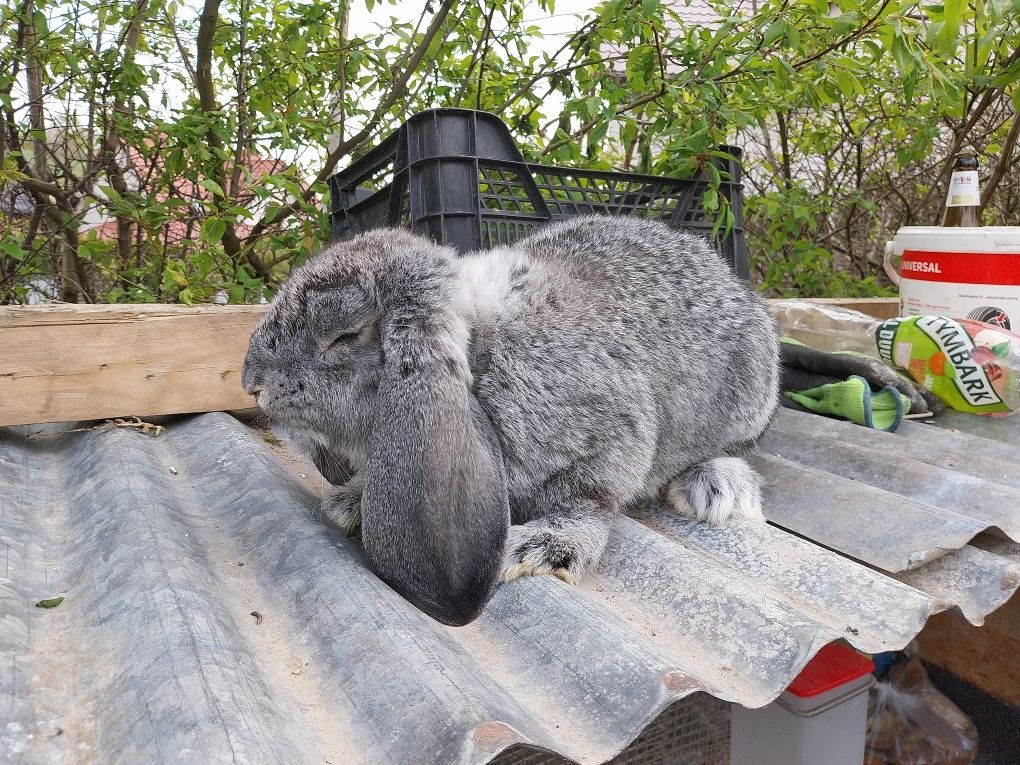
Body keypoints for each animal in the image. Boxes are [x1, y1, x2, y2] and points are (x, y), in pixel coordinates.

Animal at [240, 218, 779, 624]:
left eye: (343, 335)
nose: (251, 382)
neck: (478, 357)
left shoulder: (610, 440)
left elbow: (590, 503)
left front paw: (536, 549)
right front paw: (349, 504)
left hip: (746, 404)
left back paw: (715, 488)